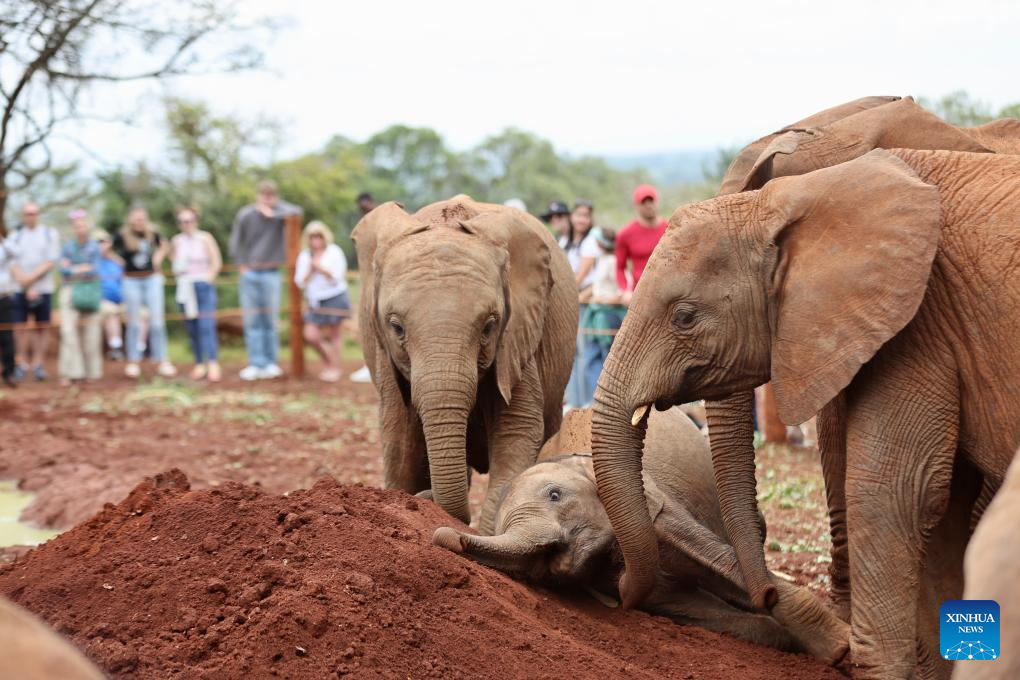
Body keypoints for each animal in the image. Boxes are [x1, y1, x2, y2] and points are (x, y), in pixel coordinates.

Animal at [352, 196, 578, 532]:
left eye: (489, 326)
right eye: (396, 327)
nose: (427, 498)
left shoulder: (517, 339)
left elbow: (517, 434)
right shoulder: (386, 357)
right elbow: (400, 445)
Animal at [433, 408, 850, 663]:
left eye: (555, 495)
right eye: (538, 566)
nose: (444, 536)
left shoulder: (653, 501)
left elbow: (717, 560)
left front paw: (842, 649)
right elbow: (678, 600)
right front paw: (789, 639)